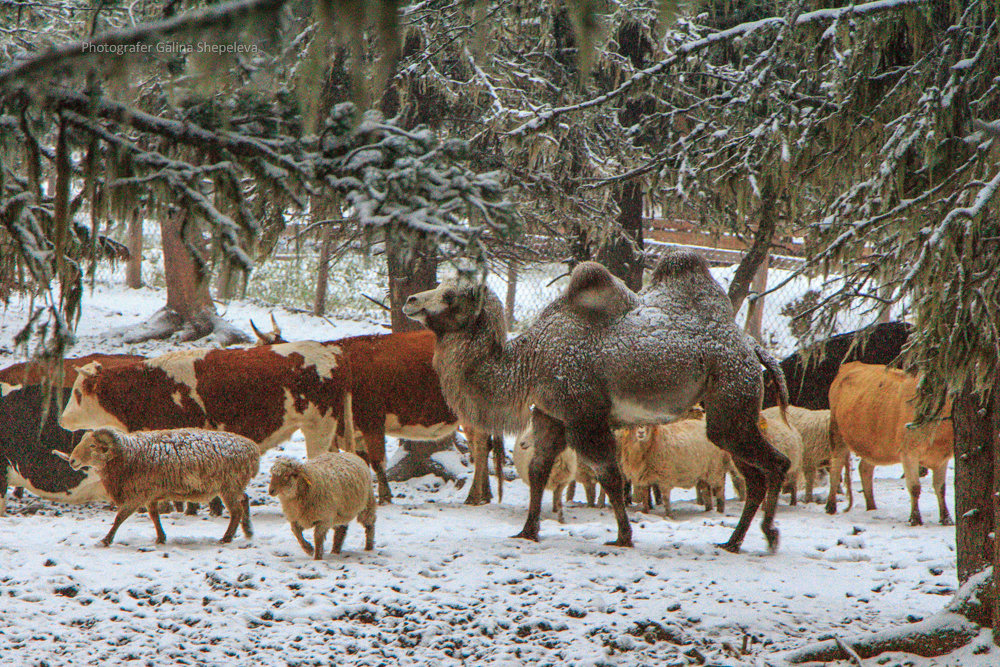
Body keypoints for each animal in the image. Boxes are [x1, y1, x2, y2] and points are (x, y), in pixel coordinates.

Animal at [64, 428, 260, 548]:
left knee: (236, 511)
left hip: (229, 485)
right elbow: (154, 516)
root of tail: (253, 450)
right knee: (245, 500)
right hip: (235, 486)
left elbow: (120, 518)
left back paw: (226, 538)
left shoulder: (136, 495)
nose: (72, 461)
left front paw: (105, 540)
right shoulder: (149, 495)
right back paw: (248, 530)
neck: (129, 455)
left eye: (92, 445)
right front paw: (160, 538)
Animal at [404, 250, 788, 552]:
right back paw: (734, 541)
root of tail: (753, 347)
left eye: (451, 295)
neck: (529, 361)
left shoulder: (583, 416)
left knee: (776, 463)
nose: (411, 301)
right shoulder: (551, 415)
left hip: (731, 393)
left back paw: (769, 534)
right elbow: (539, 469)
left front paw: (623, 536)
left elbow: (611, 476)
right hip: (730, 408)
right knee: (755, 475)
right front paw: (527, 531)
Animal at [824, 360, 956, 528]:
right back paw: (830, 506)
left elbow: (941, 488)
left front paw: (946, 518)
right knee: (835, 466)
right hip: (837, 432)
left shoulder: (941, 458)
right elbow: (914, 487)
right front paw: (915, 519)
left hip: (872, 443)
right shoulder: (908, 453)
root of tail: (850, 364)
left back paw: (871, 507)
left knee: (865, 468)